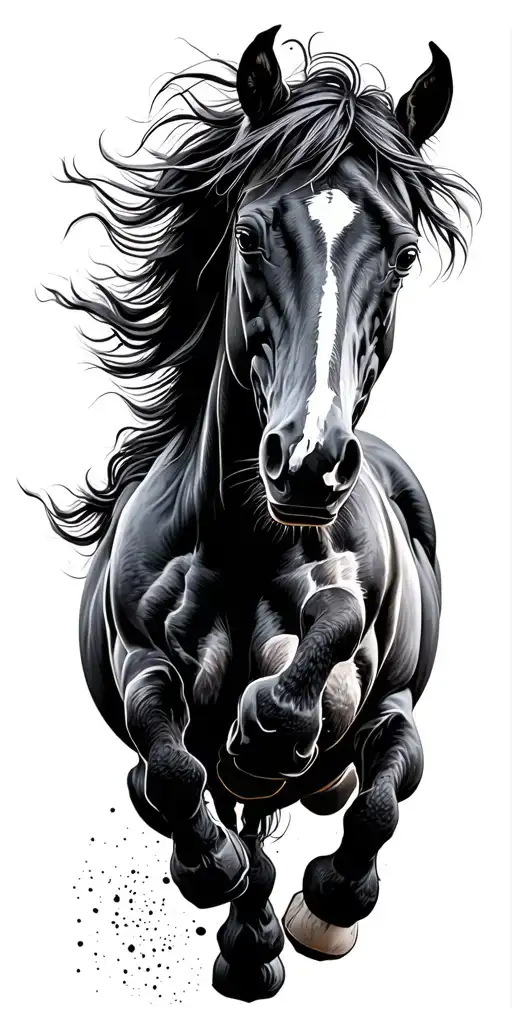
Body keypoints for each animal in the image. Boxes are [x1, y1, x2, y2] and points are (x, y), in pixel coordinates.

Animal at [29, 26, 478, 1002]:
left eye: (403, 253)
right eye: (248, 232)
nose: (307, 460)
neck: (245, 545)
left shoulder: (375, 680)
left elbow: (343, 701)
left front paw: (326, 899)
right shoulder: (139, 663)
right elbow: (170, 762)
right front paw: (215, 868)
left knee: (353, 788)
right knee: (209, 806)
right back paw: (245, 933)